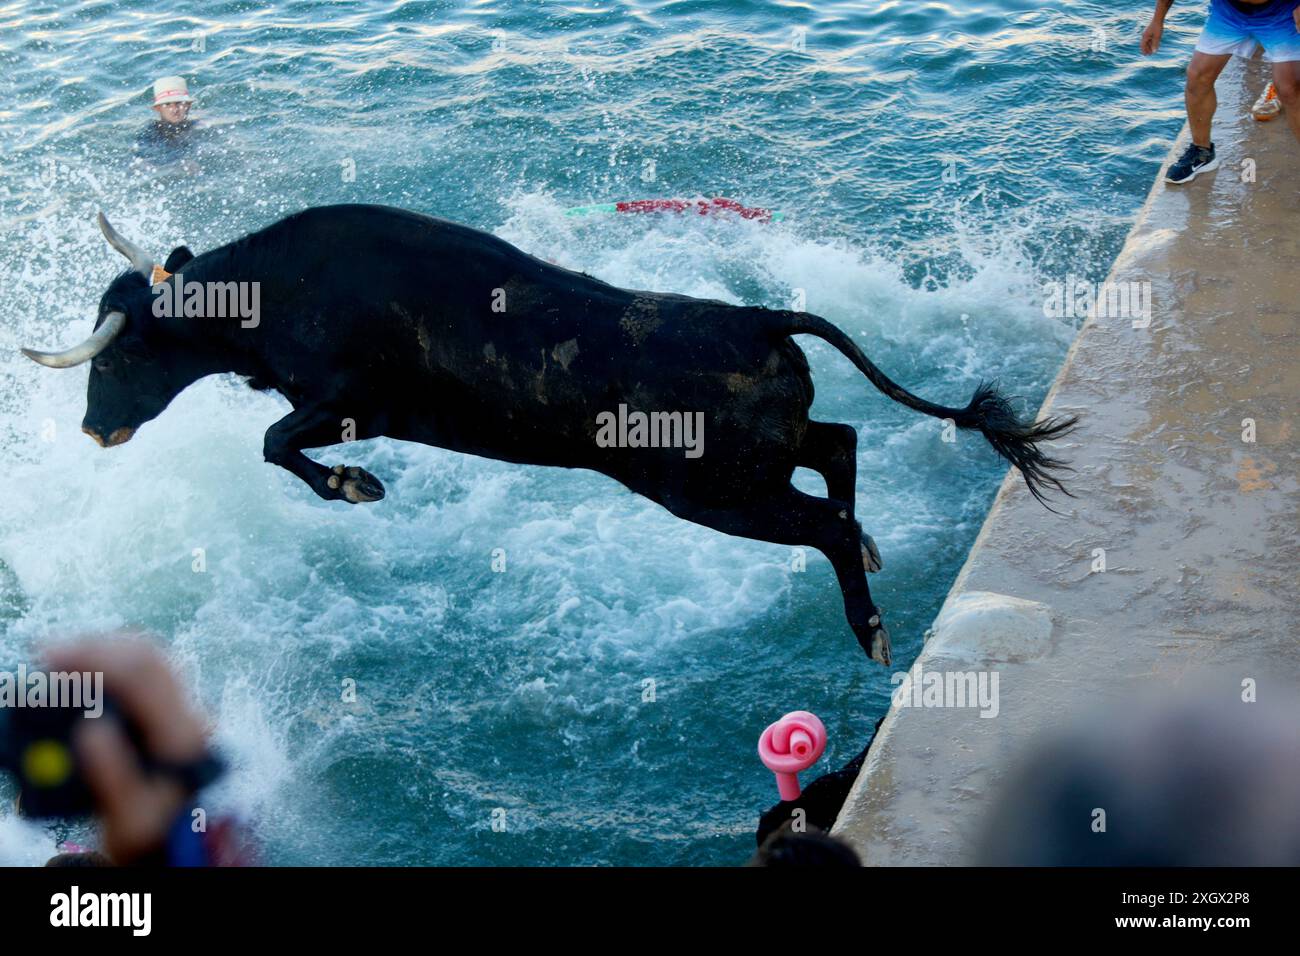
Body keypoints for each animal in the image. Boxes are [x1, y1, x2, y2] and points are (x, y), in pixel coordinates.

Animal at [22, 201, 1076, 665]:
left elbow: (278, 445)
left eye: (119, 357)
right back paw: (873, 547)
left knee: (820, 519)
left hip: (716, 492)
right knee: (840, 445)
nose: (94, 429)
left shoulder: (344, 397)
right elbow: (278, 444)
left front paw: (357, 487)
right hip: (757, 461)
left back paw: (871, 626)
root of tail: (763, 318)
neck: (277, 286)